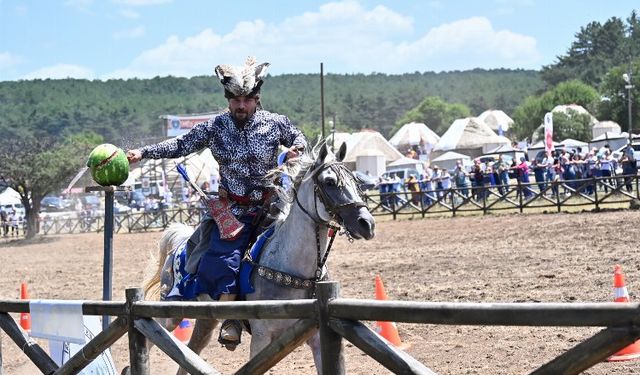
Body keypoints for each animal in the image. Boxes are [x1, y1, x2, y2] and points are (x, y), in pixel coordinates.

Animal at [140, 142, 376, 374]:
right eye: (329, 182)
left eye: (356, 181)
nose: (367, 223)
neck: (292, 268)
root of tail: (179, 245)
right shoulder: (262, 338)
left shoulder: (318, 336)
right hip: (170, 312)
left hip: (206, 320)